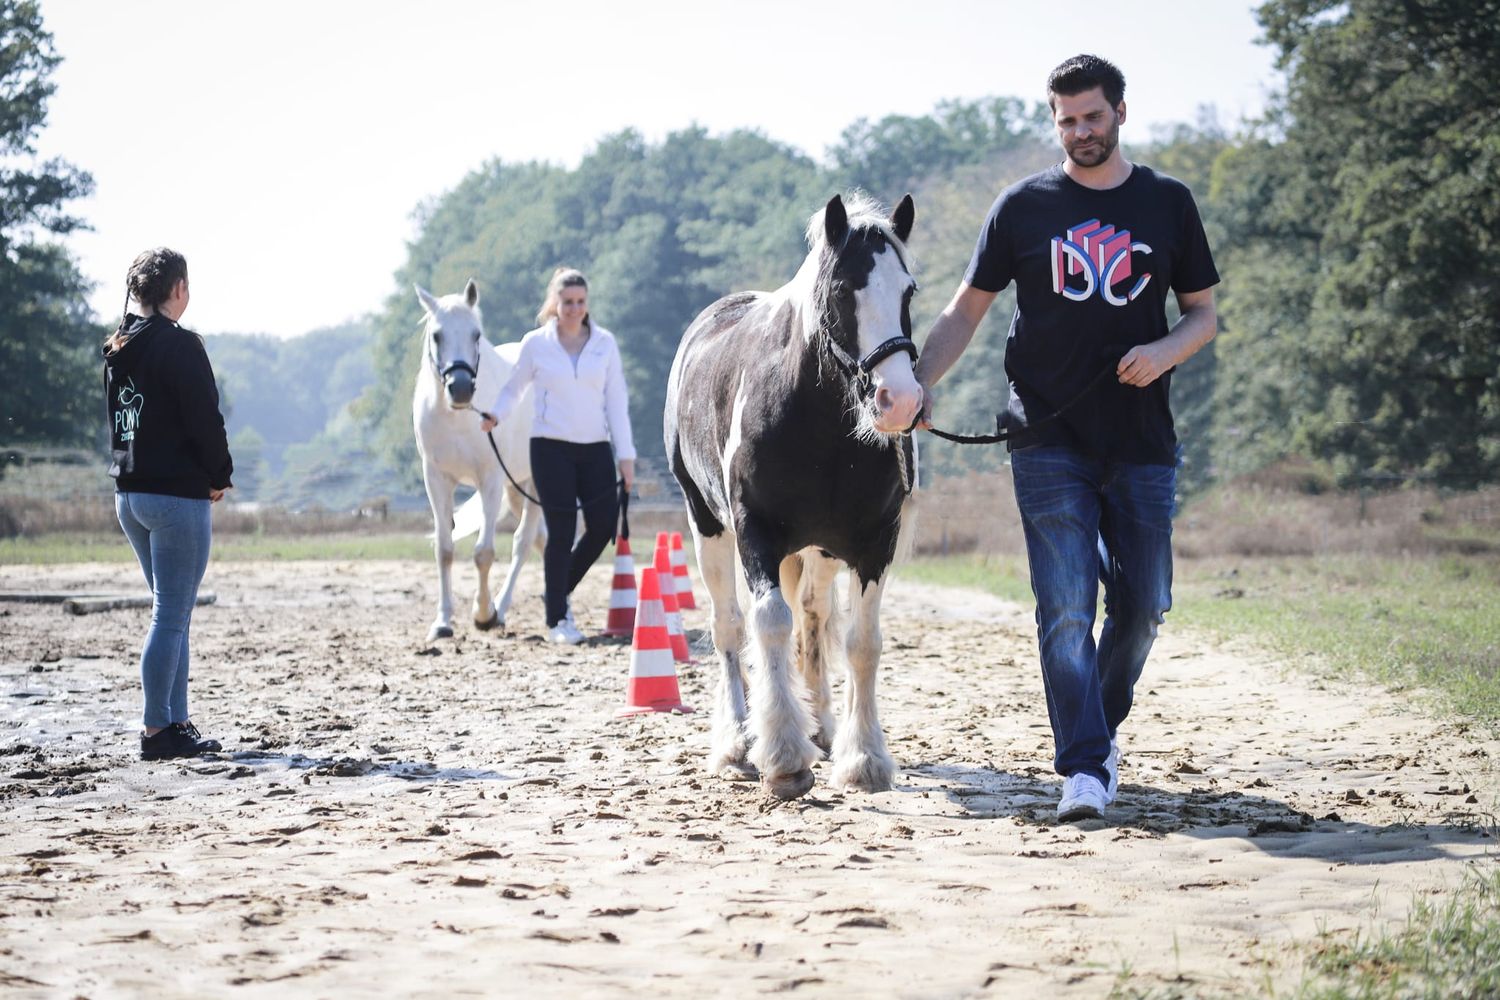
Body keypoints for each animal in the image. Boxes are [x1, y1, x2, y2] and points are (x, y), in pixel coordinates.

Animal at [412, 280, 544, 640]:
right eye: (437, 335)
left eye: (476, 334)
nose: (459, 389)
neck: (459, 418)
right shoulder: (436, 479)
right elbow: (444, 549)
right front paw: (442, 622)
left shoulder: (491, 479)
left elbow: (483, 552)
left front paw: (483, 614)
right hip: (517, 486)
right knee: (541, 541)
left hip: (534, 484)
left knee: (523, 542)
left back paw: (501, 609)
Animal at [664, 193, 923, 800]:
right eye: (843, 290)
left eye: (908, 292)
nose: (899, 402)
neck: (821, 427)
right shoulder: (755, 533)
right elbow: (769, 625)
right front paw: (783, 756)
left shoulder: (874, 542)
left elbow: (861, 641)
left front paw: (864, 757)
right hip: (707, 528)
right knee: (731, 627)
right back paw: (738, 742)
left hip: (818, 551)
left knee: (812, 617)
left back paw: (823, 727)